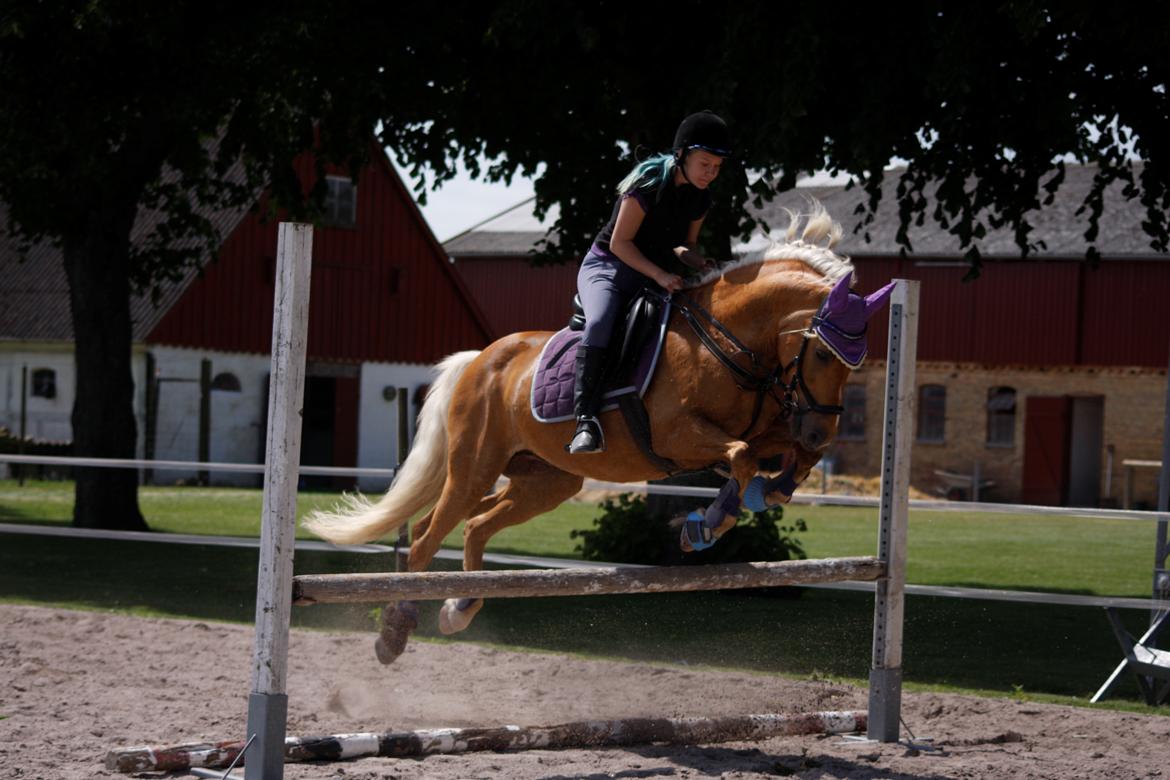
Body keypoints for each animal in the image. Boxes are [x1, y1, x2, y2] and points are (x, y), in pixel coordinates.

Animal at [306, 204, 889, 664]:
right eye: (821, 353)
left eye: (856, 362)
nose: (820, 429)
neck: (728, 340)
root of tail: (479, 360)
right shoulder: (678, 437)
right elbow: (742, 455)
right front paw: (705, 525)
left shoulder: (766, 430)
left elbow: (780, 460)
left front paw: (765, 494)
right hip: (475, 466)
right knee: (429, 536)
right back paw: (396, 630)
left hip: (546, 480)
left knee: (475, 525)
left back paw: (461, 606)